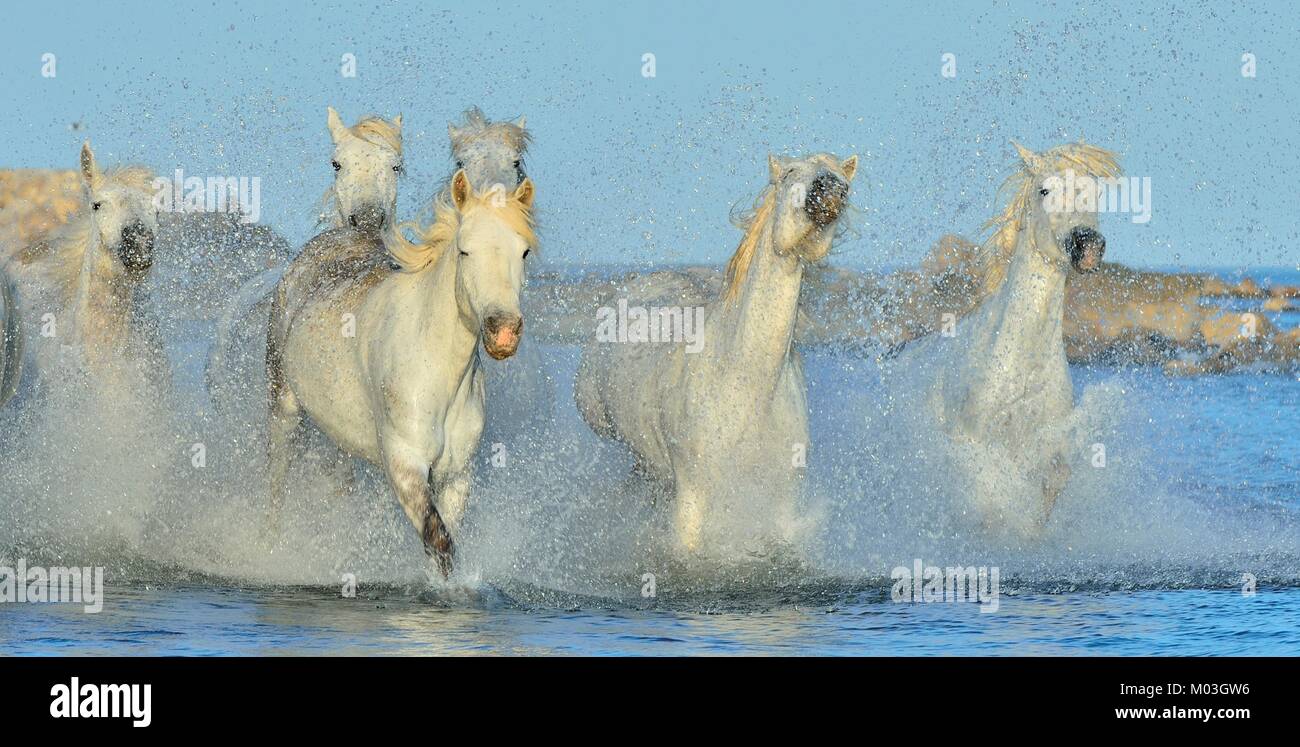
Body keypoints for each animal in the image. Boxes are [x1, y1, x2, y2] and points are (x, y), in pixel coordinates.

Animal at [266, 171, 537, 576]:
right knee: (276, 479)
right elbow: (438, 539)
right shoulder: (405, 465)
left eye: (523, 252)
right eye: (465, 250)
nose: (503, 332)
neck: (435, 370)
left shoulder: (455, 475)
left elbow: (445, 536)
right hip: (283, 406)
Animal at [574, 152, 858, 554]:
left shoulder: (782, 502)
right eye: (789, 173)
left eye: (840, 177)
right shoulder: (692, 500)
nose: (829, 190)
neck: (744, 382)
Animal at [885, 140, 1119, 537]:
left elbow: (1050, 485)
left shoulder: (1046, 446)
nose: (1086, 244)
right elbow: (989, 502)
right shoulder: (975, 444)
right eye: (1044, 190)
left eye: (1095, 192)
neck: (1020, 361)